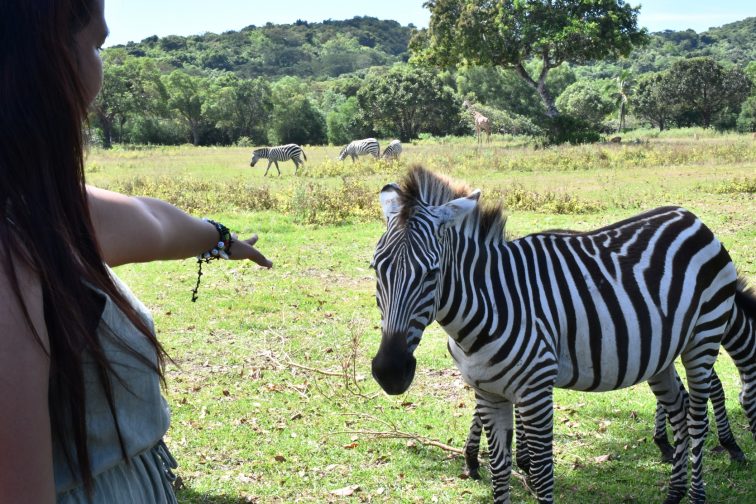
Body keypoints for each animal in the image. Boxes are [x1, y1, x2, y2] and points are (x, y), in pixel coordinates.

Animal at [372, 166, 740, 504]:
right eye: (376, 268)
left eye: (432, 273)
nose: (390, 372)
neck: (488, 304)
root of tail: (690, 217)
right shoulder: (488, 392)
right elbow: (500, 470)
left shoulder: (535, 390)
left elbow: (542, 472)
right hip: (660, 354)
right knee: (678, 410)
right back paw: (675, 493)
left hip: (702, 339)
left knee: (696, 419)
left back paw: (696, 494)